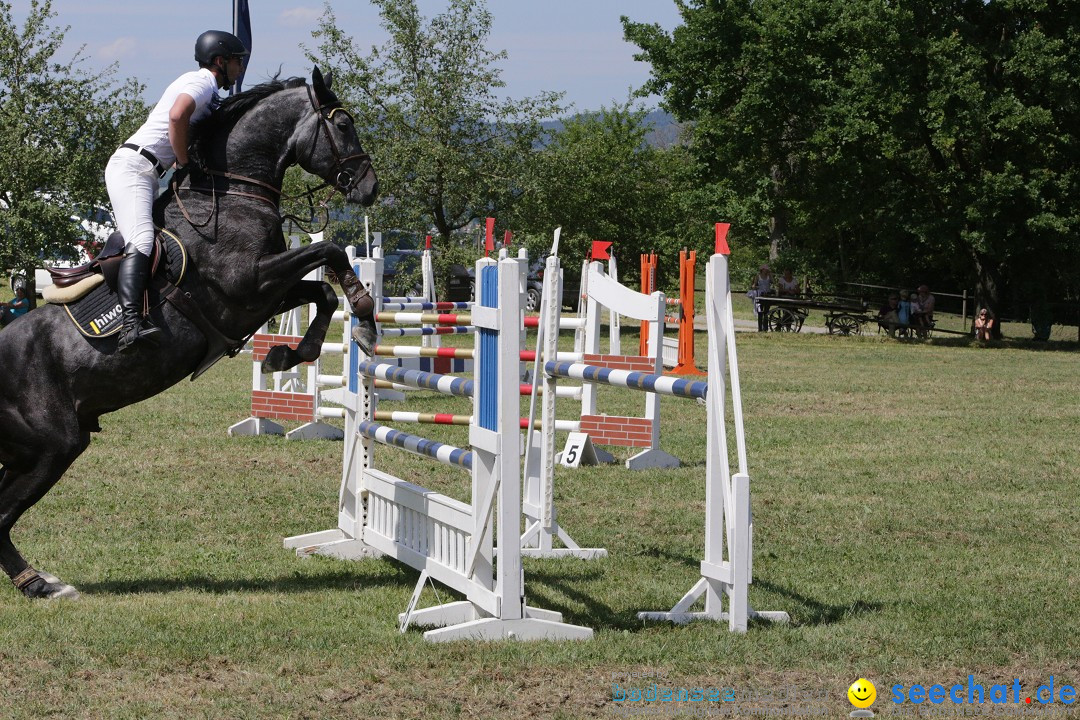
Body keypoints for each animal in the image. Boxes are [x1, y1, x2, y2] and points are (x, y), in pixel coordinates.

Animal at [0, 67, 380, 600]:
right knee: (1, 517)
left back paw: (38, 580)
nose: (370, 187)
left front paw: (290, 353)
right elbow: (330, 251)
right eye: (343, 125)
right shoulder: (249, 282)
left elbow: (322, 292)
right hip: (52, 447)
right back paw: (40, 584)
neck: (232, 191)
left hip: (27, 453)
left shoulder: (260, 297)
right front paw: (363, 314)